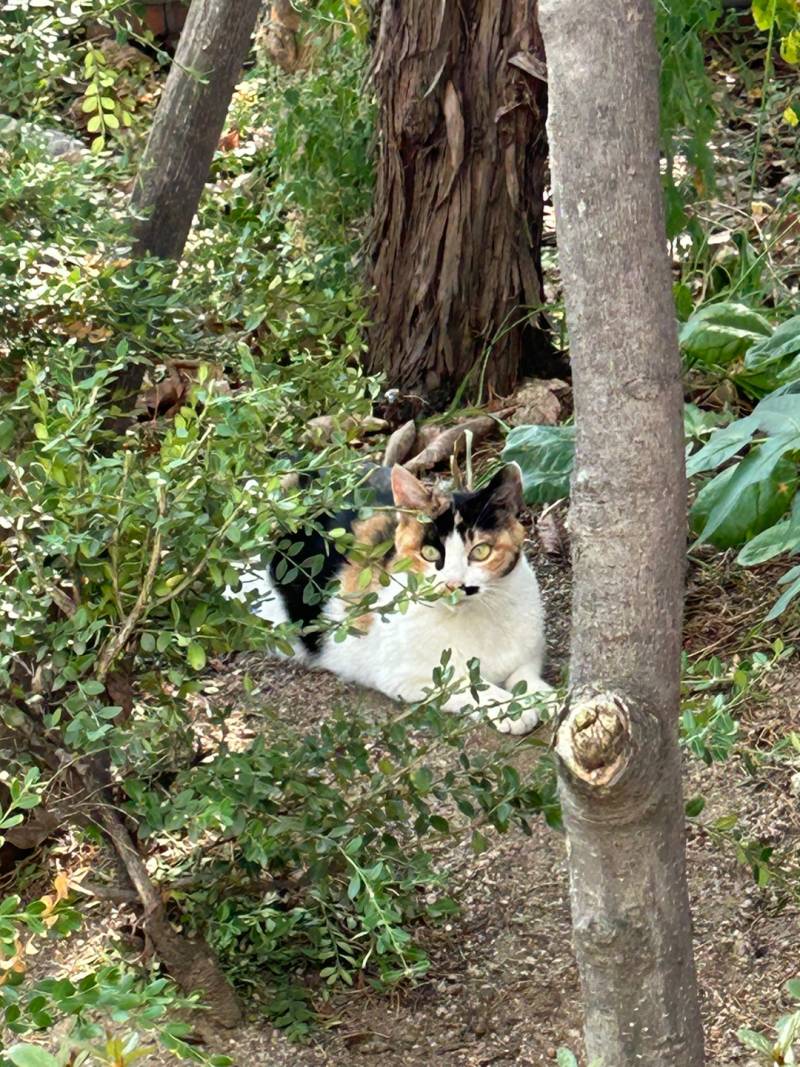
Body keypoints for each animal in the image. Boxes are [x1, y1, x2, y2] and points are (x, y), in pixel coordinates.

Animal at [234, 460, 554, 734]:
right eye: (430, 553)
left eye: (481, 551)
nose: (454, 584)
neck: (476, 618)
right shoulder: (406, 676)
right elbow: (463, 683)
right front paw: (511, 707)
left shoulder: (529, 649)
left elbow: (524, 674)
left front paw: (545, 697)